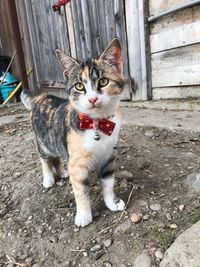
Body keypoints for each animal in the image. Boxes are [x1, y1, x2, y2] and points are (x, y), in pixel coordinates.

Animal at [21, 38, 125, 228]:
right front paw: (84, 216)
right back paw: (48, 178)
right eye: (79, 86)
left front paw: (112, 203)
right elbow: (81, 191)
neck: (97, 124)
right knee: (44, 158)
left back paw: (62, 172)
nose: (92, 98)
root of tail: (41, 96)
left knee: (57, 156)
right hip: (43, 141)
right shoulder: (77, 164)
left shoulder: (109, 156)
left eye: (103, 82)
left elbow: (108, 183)